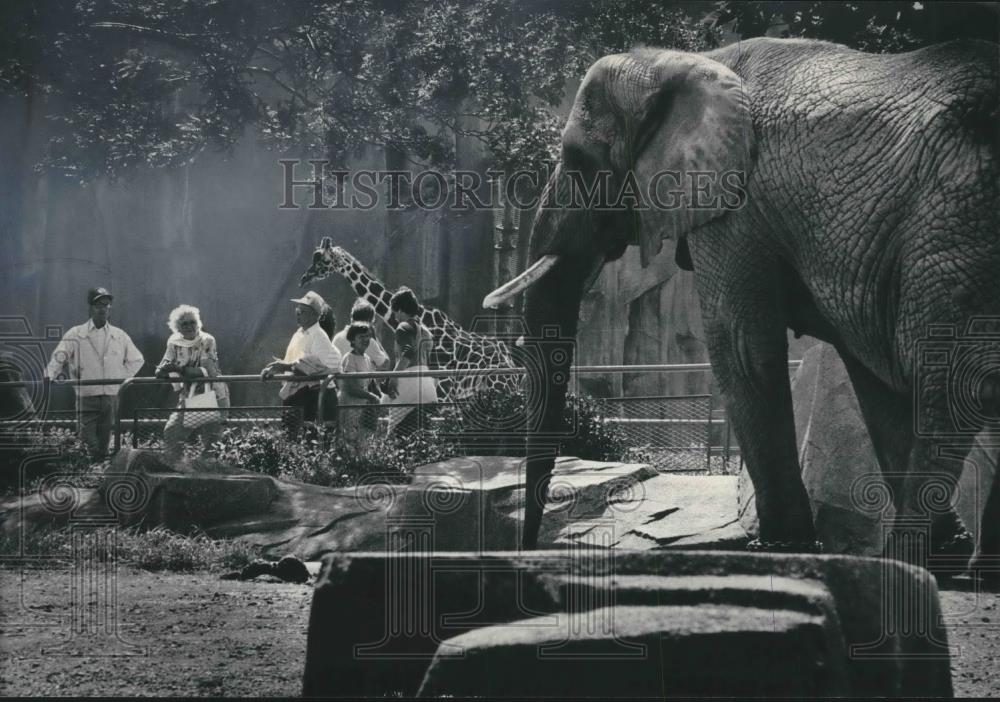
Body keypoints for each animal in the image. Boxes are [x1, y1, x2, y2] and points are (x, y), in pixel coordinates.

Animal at [298, 239, 524, 402]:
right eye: (313, 257)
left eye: (323, 260)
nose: (303, 278)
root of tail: (514, 371)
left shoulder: (443, 387)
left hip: (495, 389)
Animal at [480, 34, 996, 572]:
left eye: (579, 159)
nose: (528, 545)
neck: (680, 61)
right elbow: (872, 377)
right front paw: (942, 552)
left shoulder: (736, 204)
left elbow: (741, 346)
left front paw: (782, 547)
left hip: (955, 215)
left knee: (955, 378)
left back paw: (910, 559)